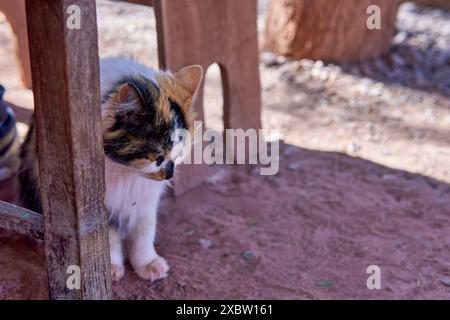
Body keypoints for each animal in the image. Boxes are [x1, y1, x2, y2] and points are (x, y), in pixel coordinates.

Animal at [18, 57, 203, 282]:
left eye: (178, 155)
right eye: (157, 158)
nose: (169, 174)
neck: (127, 174)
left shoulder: (146, 200)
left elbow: (144, 230)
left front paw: (147, 263)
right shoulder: (103, 206)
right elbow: (110, 237)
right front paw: (112, 267)